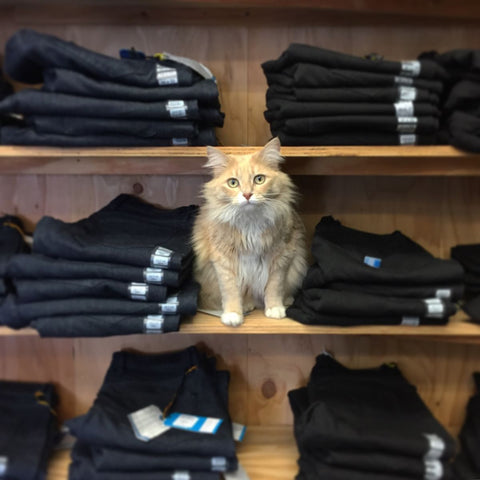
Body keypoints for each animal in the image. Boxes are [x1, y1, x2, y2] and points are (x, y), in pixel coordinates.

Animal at [191, 137, 308, 328]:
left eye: (259, 179)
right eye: (233, 183)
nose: (247, 195)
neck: (250, 223)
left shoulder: (281, 258)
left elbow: (274, 287)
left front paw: (275, 309)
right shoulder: (224, 262)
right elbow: (230, 291)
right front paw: (233, 314)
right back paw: (246, 305)